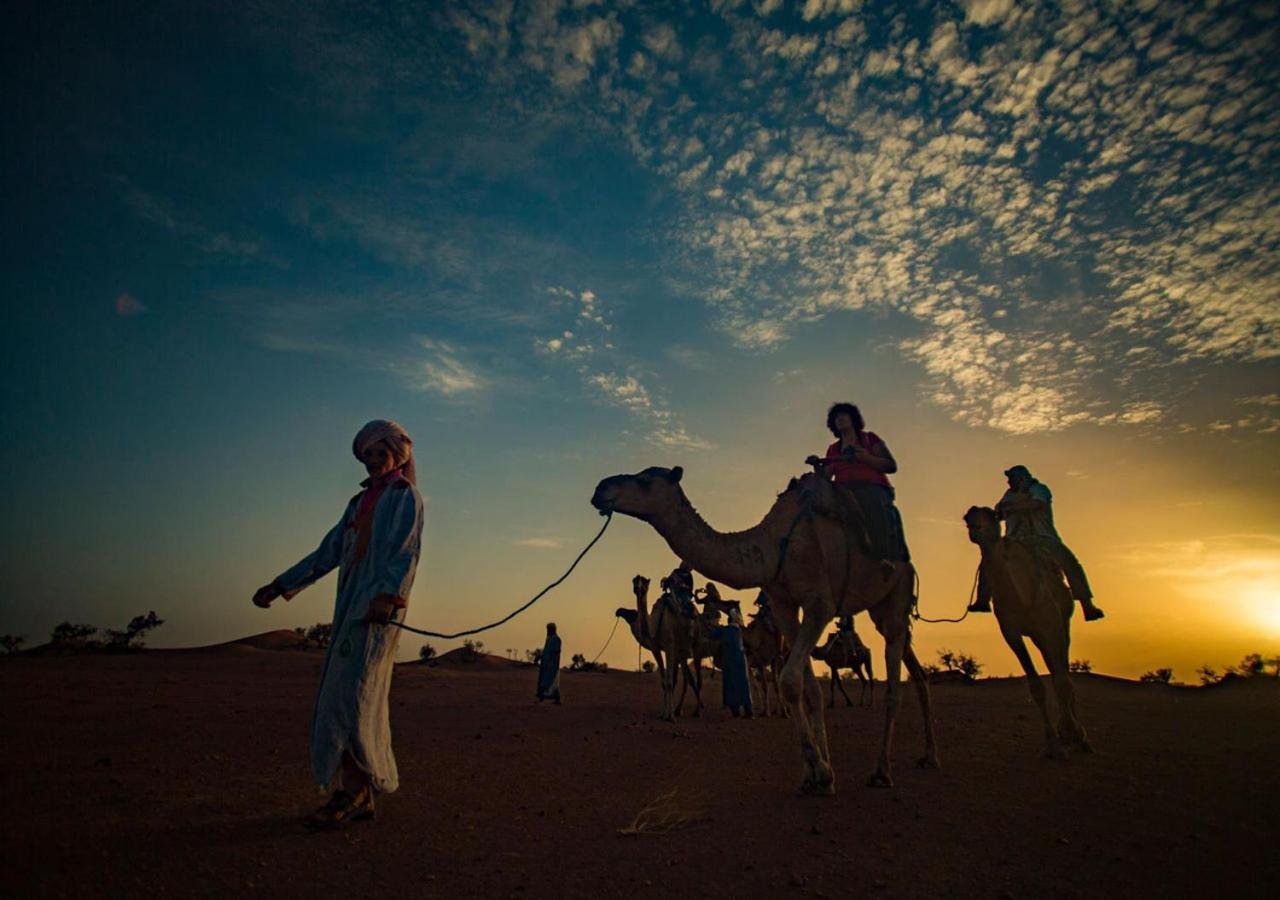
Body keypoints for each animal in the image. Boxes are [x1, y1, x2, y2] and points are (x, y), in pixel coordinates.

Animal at [591, 468, 942, 793]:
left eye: (645, 479)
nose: (600, 489)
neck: (776, 545)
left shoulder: (819, 605)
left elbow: (788, 680)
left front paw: (821, 770)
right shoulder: (785, 606)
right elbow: (808, 689)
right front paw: (818, 775)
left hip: (897, 593)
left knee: (894, 683)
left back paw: (882, 771)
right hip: (880, 608)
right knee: (917, 672)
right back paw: (929, 756)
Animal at [967, 506, 1090, 757]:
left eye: (990, 514)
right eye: (972, 512)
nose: (971, 514)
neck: (1021, 598)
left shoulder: (1051, 628)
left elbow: (1062, 681)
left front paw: (1075, 734)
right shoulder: (1012, 634)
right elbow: (1036, 687)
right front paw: (1053, 745)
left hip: (1062, 624)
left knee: (1063, 672)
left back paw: (1078, 735)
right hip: (1037, 636)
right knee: (1056, 669)